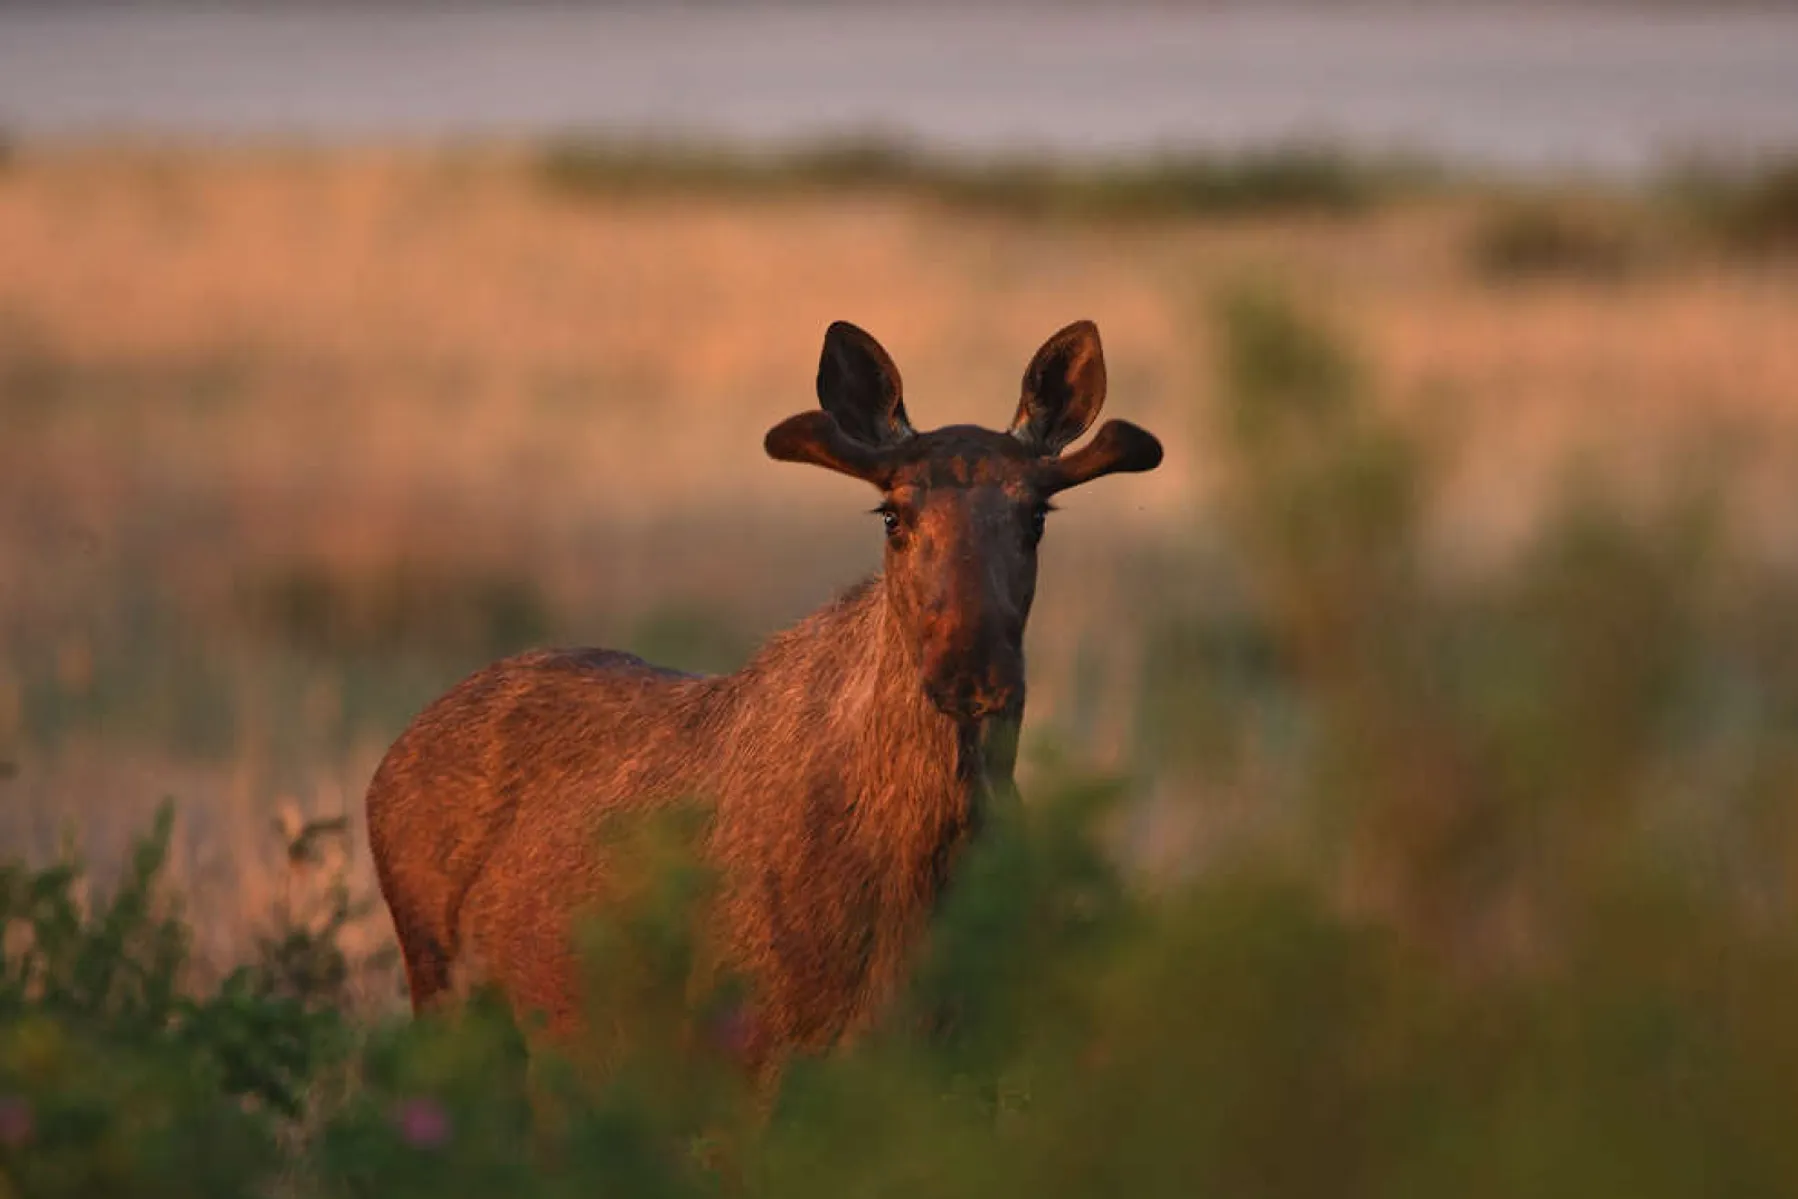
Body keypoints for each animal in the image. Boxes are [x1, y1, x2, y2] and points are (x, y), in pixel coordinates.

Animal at [364, 318, 1165, 1071]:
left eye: (1035, 517)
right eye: (893, 516)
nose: (971, 671)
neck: (923, 874)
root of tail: (388, 760)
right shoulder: (755, 1053)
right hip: (443, 992)